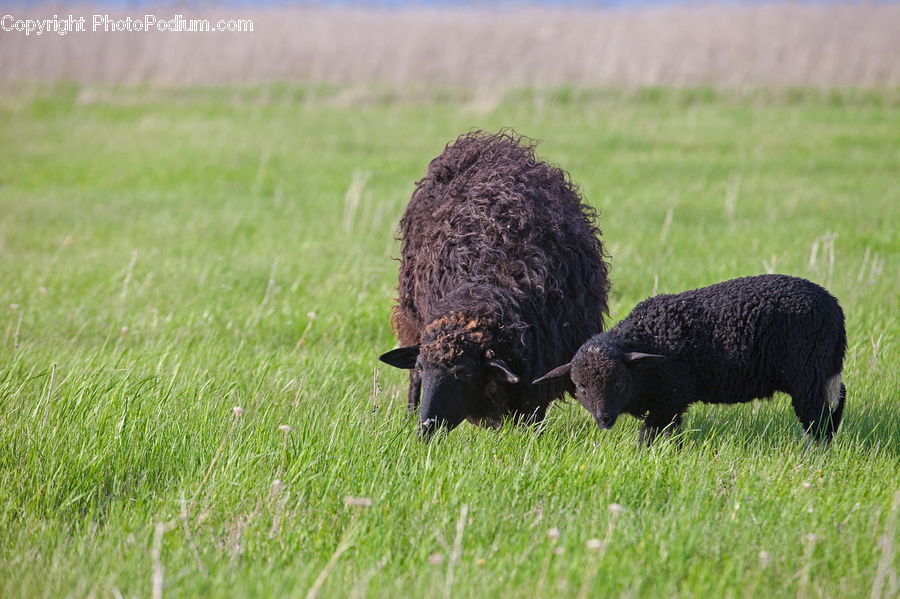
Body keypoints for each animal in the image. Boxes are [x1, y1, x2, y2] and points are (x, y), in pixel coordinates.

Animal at [533, 274, 847, 444]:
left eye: (618, 382)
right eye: (581, 387)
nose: (604, 419)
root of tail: (833, 307)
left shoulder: (672, 396)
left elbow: (650, 434)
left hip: (808, 372)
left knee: (817, 417)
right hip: (823, 372)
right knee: (836, 401)